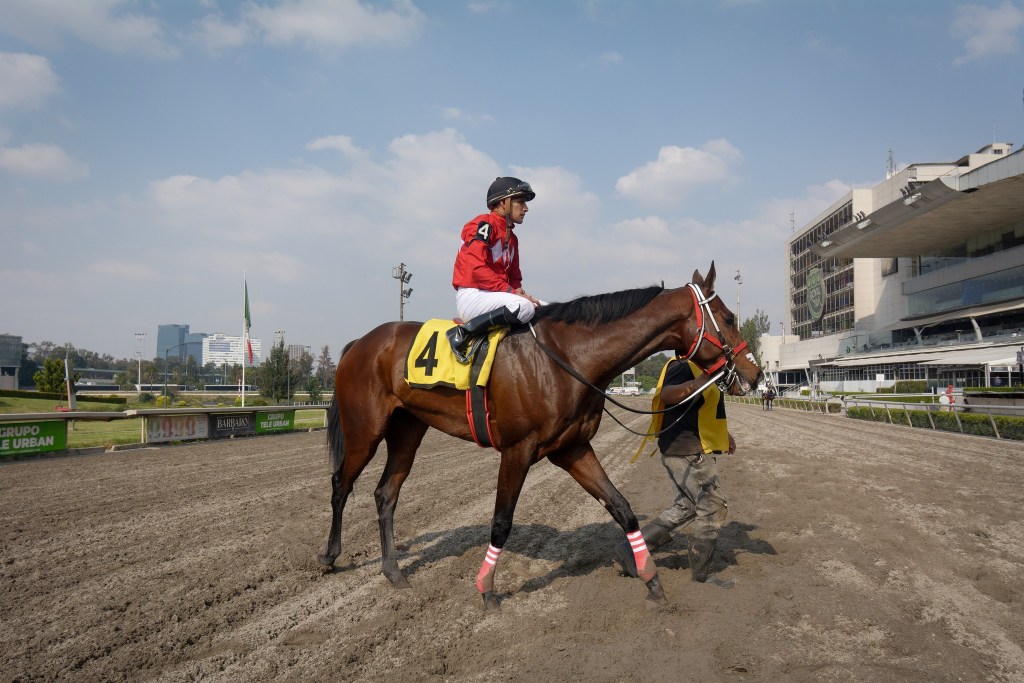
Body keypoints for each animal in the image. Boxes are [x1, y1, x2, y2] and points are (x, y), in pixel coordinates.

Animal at [319, 262, 763, 609]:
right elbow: (501, 521)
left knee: (386, 494)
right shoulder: (518, 450)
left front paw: (651, 579)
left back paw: (393, 571)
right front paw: (487, 591)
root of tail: (361, 342)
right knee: (340, 483)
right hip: (365, 431)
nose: (755, 374)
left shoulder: (572, 449)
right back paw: (329, 556)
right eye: (728, 317)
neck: (568, 357)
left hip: (408, 430)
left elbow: (621, 507)